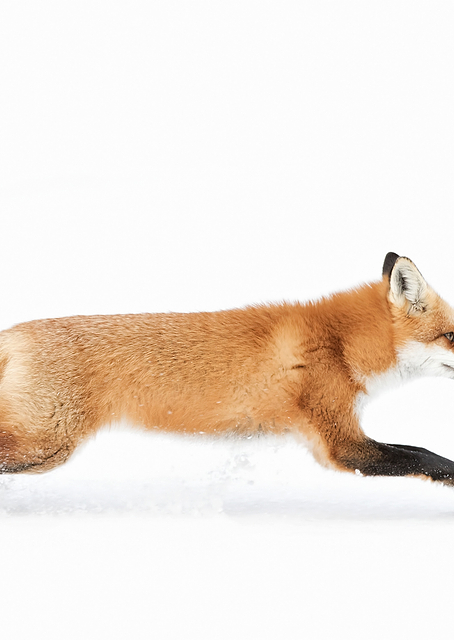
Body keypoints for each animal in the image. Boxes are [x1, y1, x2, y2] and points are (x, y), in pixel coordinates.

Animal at [1, 252, 454, 485]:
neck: (340, 346)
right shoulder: (341, 444)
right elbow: (429, 457)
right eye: (451, 334)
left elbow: (420, 452)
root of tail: (14, 331)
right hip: (46, 446)